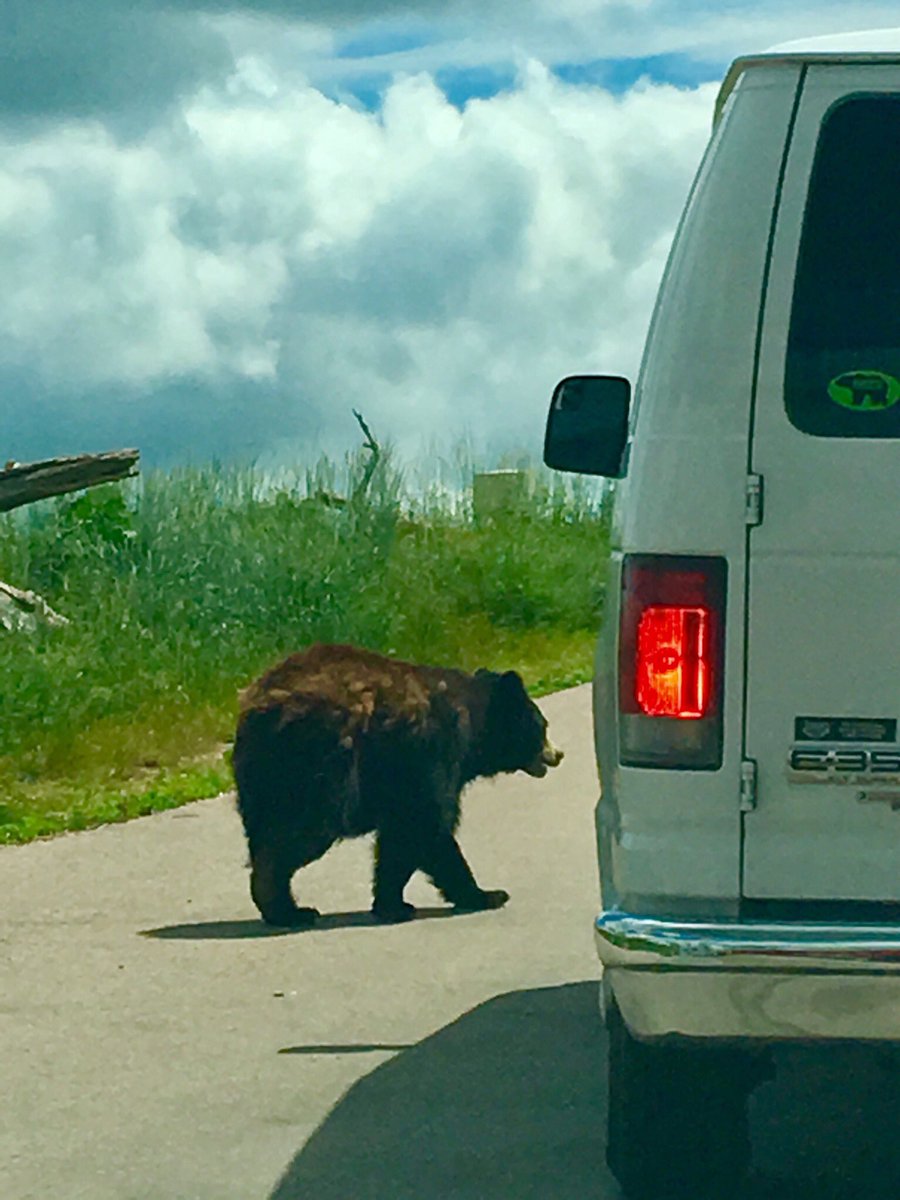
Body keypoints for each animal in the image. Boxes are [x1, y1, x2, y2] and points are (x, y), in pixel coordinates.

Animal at [232, 643, 564, 926]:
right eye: (542, 726)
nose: (558, 754)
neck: (472, 724)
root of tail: (256, 706)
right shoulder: (430, 751)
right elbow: (425, 823)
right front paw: (485, 894)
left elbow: (398, 837)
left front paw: (392, 903)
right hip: (318, 766)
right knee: (299, 834)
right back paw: (289, 910)